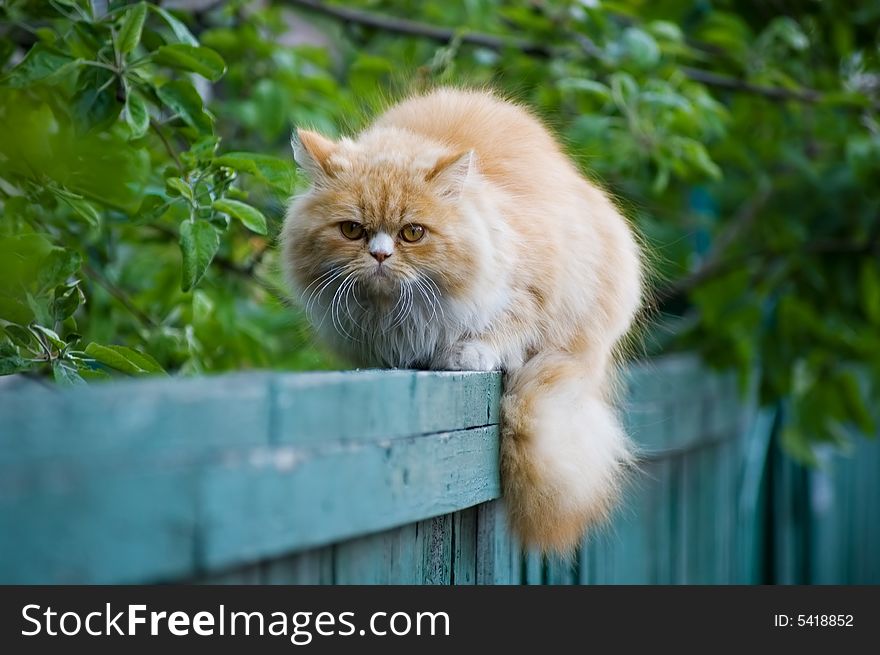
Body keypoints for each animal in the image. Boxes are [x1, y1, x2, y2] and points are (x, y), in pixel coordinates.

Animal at [284, 87, 648, 552]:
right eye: (351, 230)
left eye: (413, 233)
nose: (380, 256)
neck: (397, 318)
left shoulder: (535, 287)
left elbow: (507, 326)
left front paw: (465, 354)